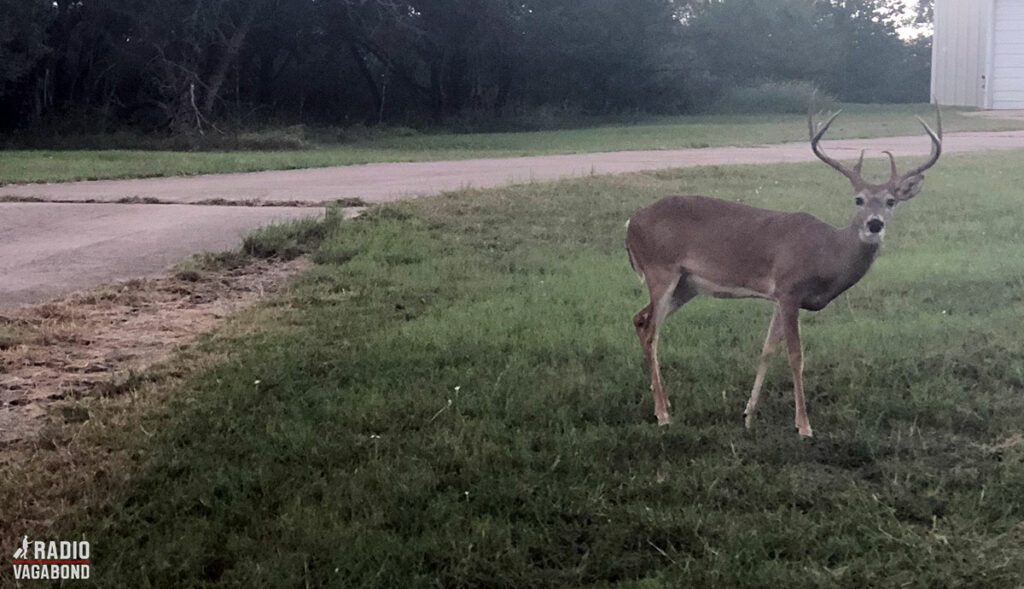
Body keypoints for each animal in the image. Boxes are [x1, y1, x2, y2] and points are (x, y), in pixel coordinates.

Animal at [618, 107, 937, 438]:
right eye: (858, 199)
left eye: (891, 201)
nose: (874, 224)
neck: (827, 252)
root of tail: (630, 224)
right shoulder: (789, 288)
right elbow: (796, 356)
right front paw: (804, 426)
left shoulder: (778, 297)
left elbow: (768, 349)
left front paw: (748, 415)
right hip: (660, 269)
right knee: (652, 331)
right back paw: (663, 414)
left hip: (686, 284)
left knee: (640, 320)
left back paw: (664, 401)